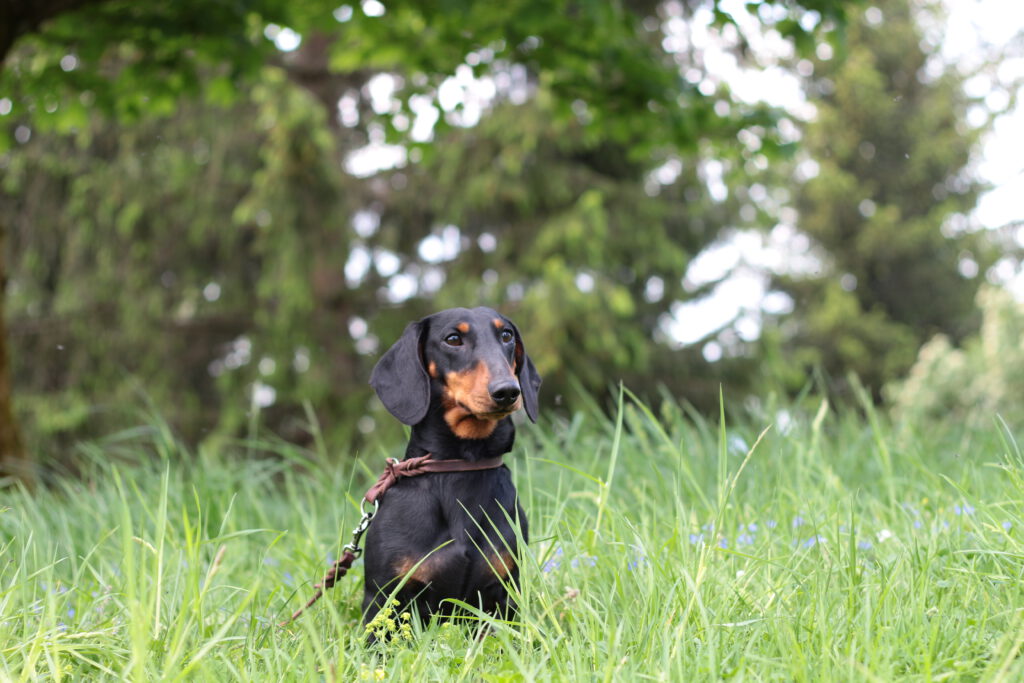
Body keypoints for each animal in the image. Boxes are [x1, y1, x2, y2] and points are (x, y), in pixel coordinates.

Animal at [362, 307, 540, 626]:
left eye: (506, 335)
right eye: (453, 339)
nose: (507, 391)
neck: (458, 466)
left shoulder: (504, 594)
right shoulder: (382, 598)